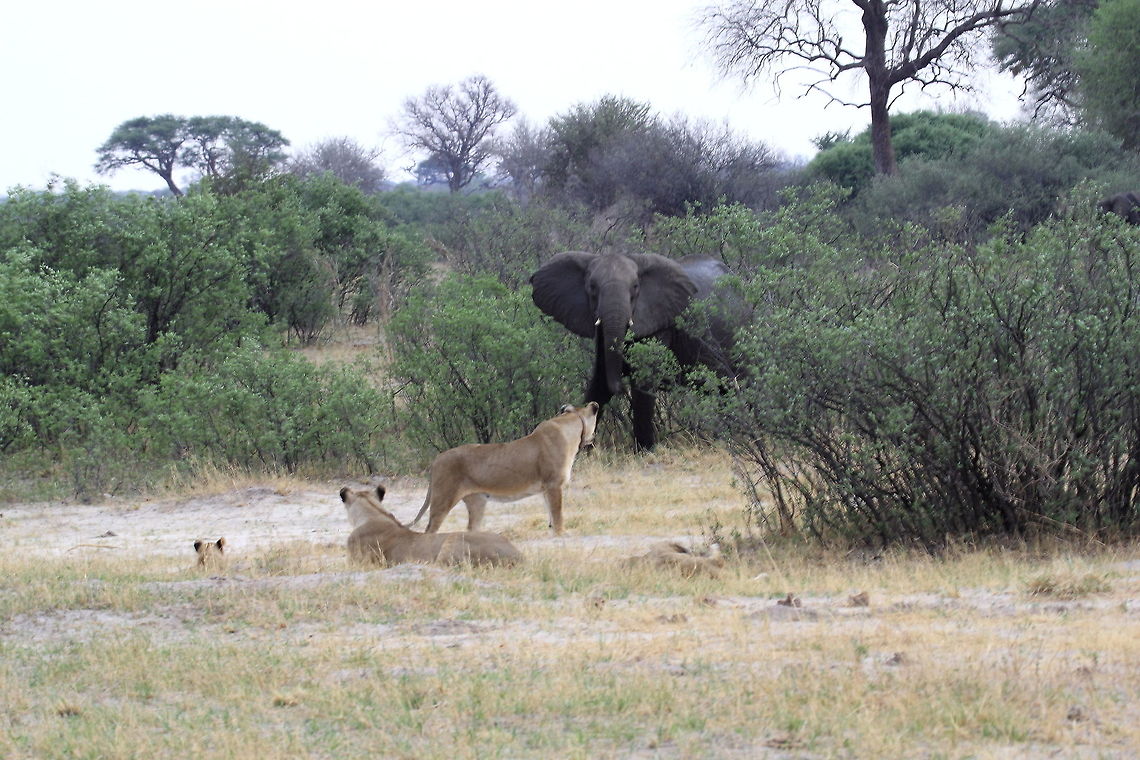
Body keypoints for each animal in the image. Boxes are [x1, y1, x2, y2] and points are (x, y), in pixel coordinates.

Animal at [409, 402, 599, 535]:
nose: (593, 439)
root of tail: (437, 459)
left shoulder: (547, 488)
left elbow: (551, 514)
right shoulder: (553, 484)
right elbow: (558, 514)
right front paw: (562, 534)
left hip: (477, 501)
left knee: (471, 529)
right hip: (443, 499)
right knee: (430, 530)